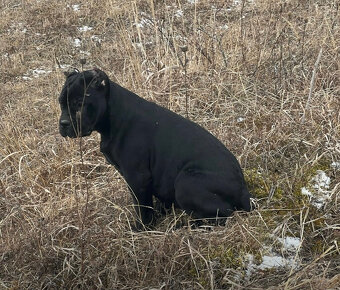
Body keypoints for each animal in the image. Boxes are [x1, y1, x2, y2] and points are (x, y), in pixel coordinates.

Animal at [57, 68, 250, 229]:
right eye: (60, 103)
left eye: (79, 103)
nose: (63, 123)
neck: (112, 116)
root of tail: (243, 190)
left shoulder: (137, 177)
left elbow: (142, 206)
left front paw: (142, 228)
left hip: (185, 182)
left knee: (223, 214)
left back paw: (186, 226)